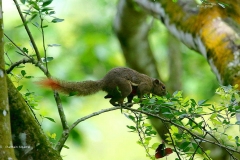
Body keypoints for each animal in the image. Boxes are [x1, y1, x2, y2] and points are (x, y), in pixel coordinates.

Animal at [39, 66, 167, 105]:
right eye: (163, 87)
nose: (166, 94)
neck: (151, 83)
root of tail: (104, 82)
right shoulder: (143, 86)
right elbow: (140, 92)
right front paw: (141, 100)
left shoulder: (133, 93)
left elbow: (131, 98)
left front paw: (131, 103)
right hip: (125, 87)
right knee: (113, 99)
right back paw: (118, 104)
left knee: (109, 97)